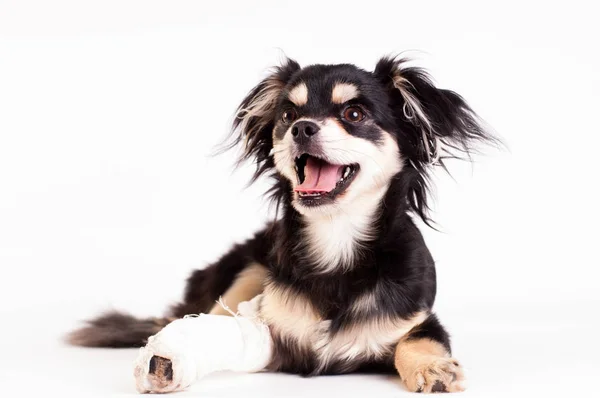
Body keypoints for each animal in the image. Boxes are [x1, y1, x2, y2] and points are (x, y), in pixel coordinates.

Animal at [68, 56, 494, 394]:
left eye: (354, 114)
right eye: (287, 116)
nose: (301, 127)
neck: (337, 238)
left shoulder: (419, 318)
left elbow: (418, 339)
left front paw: (432, 367)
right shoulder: (270, 332)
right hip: (248, 269)